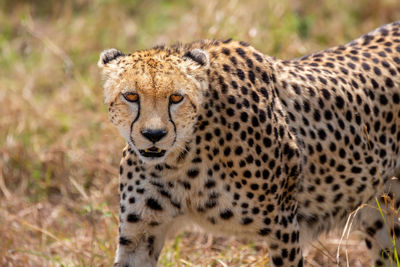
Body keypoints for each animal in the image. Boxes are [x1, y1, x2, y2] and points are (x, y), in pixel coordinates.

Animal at [99, 22, 400, 266]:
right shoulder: (140, 235)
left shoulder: (283, 224)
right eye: (131, 96)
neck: (181, 158)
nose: (154, 134)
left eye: (176, 98)